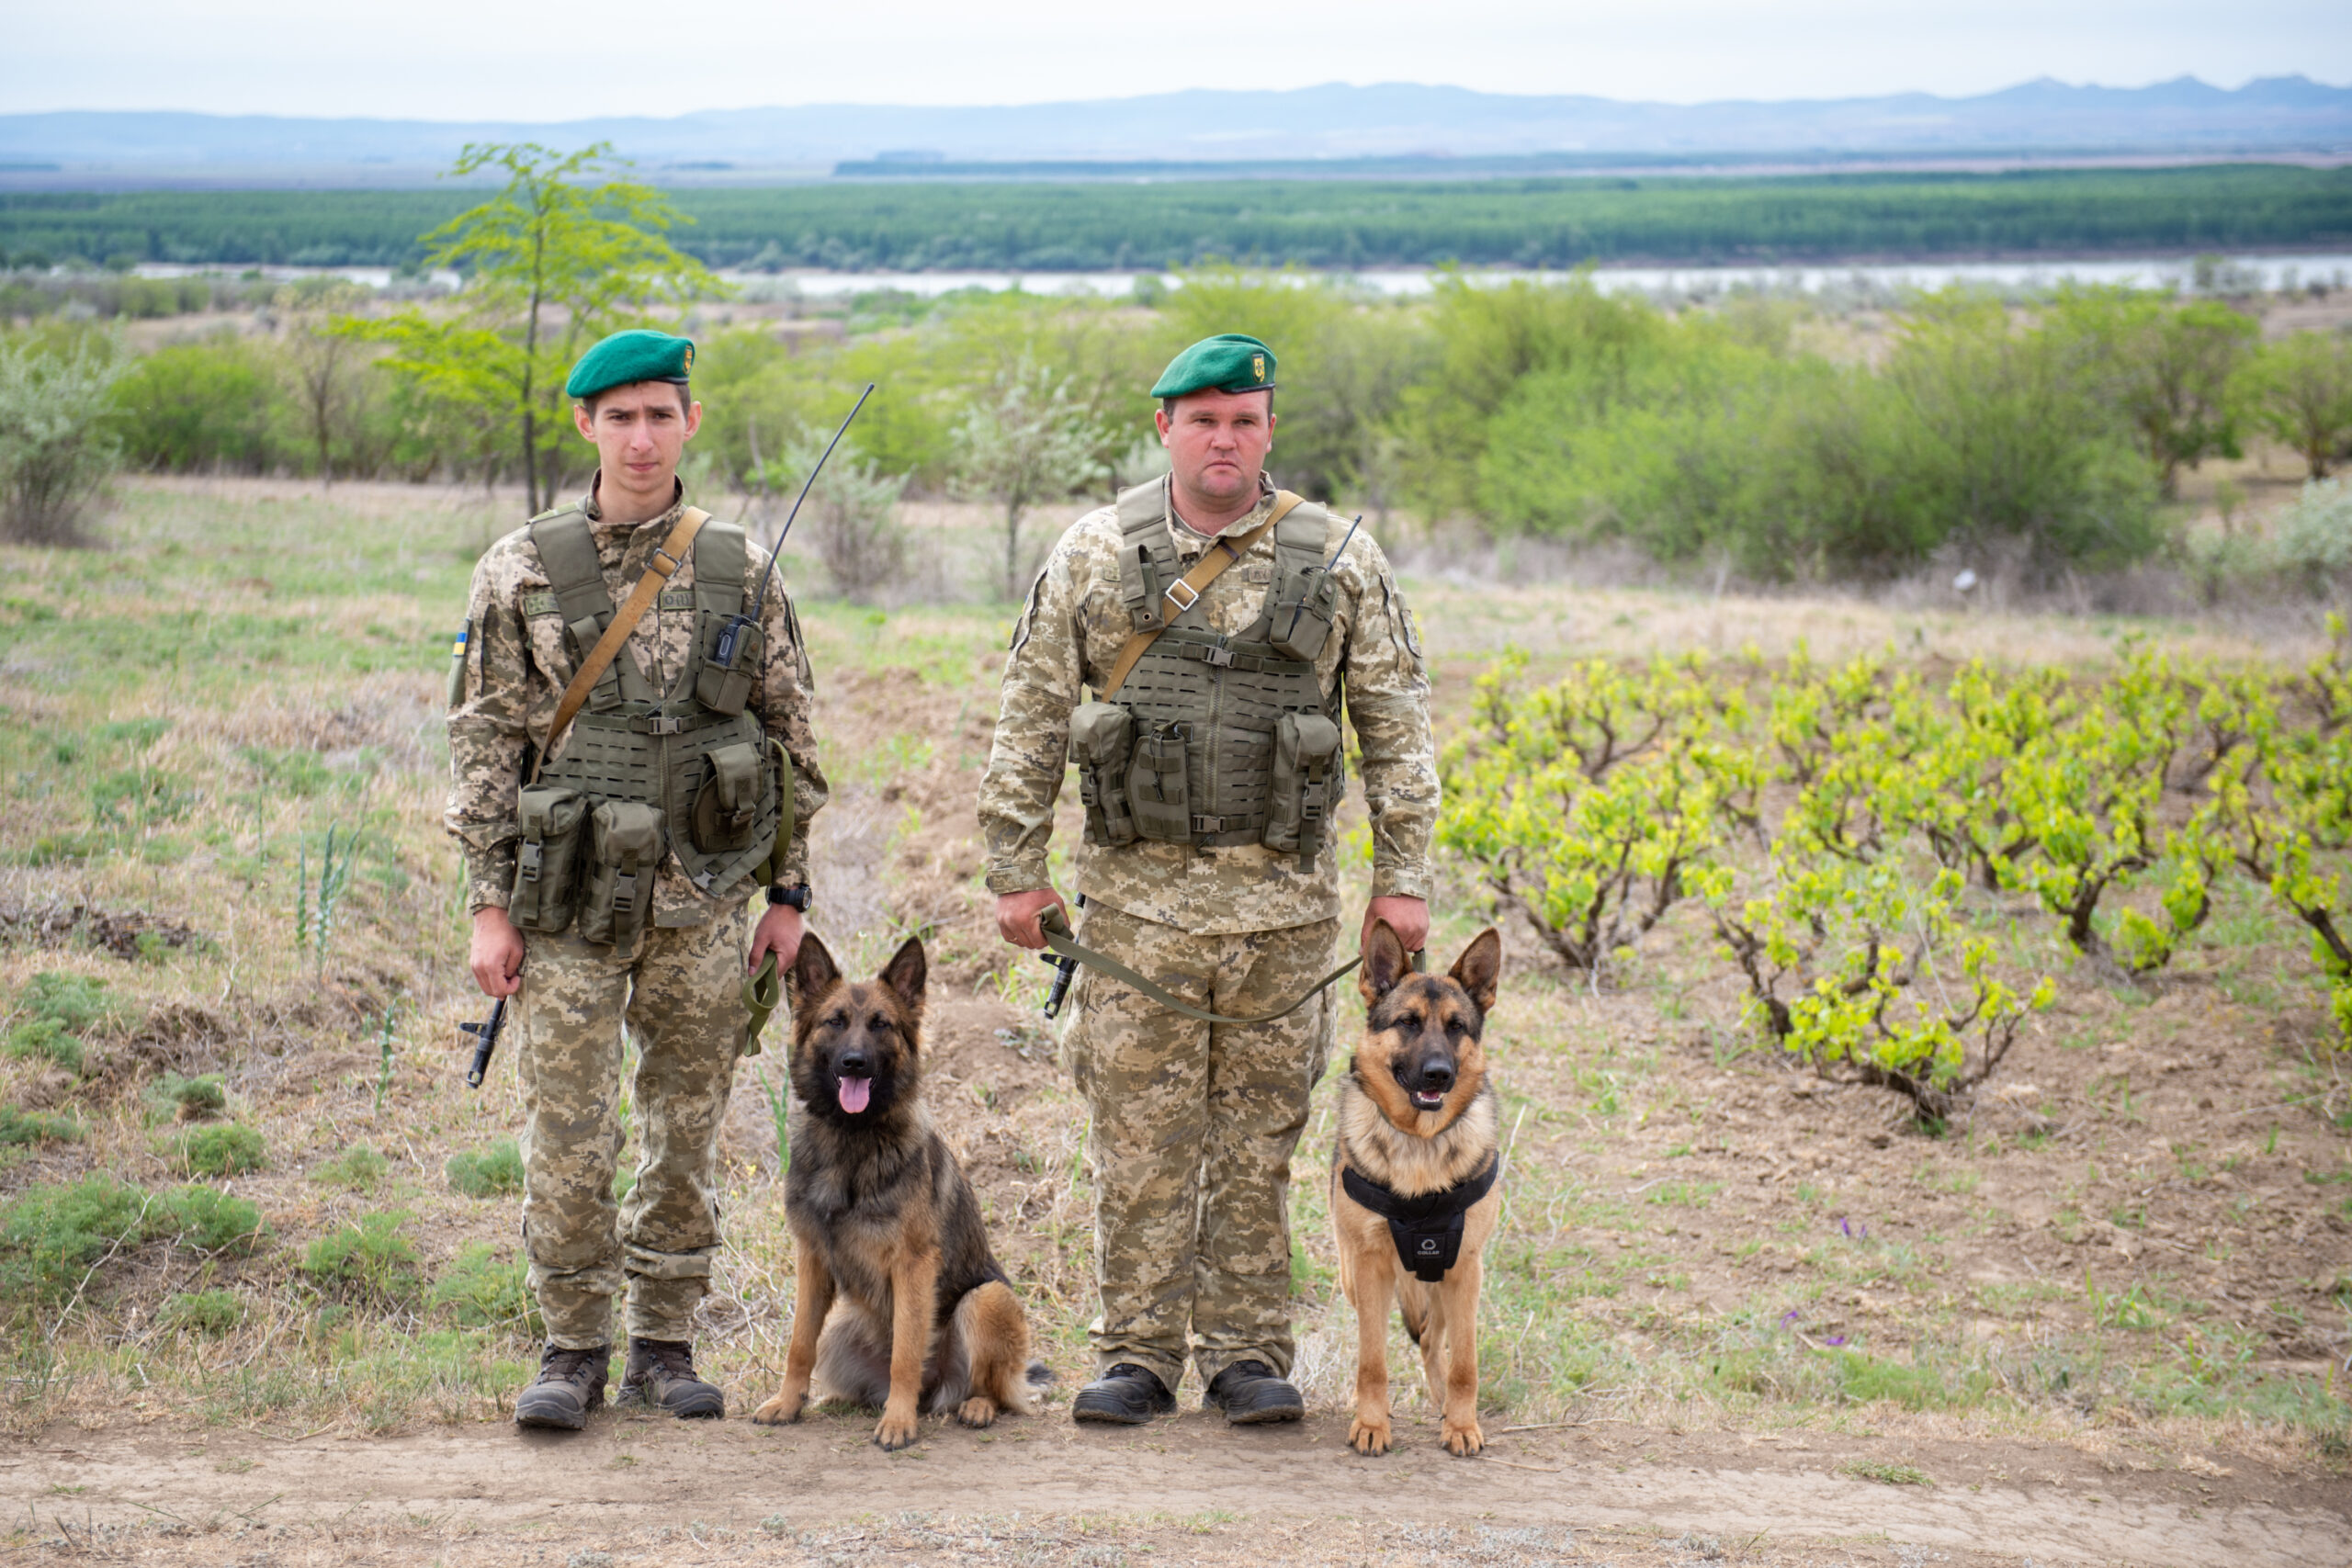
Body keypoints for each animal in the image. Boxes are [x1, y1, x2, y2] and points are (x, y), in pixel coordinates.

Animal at [748, 940, 1044, 1457]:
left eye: (881, 1024)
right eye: (835, 1021)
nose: (854, 1063)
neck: (852, 1140)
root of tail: (937, 1392)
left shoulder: (913, 1265)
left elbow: (906, 1352)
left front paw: (898, 1422)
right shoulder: (812, 1259)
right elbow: (799, 1343)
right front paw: (787, 1402)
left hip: (986, 1299)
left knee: (990, 1389)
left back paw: (972, 1406)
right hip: (840, 1329)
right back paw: (837, 1400)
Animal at [1336, 921, 1496, 1457]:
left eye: (1456, 1027)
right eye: (1407, 1022)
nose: (1438, 1075)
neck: (1420, 1145)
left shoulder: (1465, 1269)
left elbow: (1465, 1363)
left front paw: (1462, 1425)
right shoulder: (1369, 1266)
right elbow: (1371, 1361)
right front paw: (1371, 1423)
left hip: (1444, 1282)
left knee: (1430, 1340)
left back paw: (1445, 1404)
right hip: (1353, 1276)